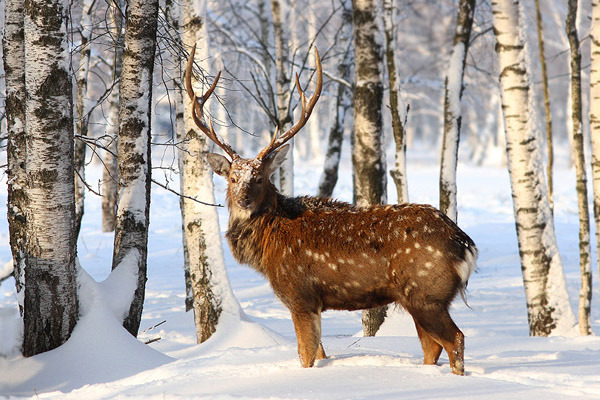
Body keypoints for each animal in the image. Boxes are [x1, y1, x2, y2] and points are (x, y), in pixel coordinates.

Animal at [185, 44, 476, 376]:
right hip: (418, 298)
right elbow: (319, 352)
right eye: (232, 178)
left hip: (427, 292)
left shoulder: (300, 294)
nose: (244, 200)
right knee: (432, 346)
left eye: (260, 177)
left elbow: (305, 354)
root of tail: (465, 244)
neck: (268, 247)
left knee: (455, 339)